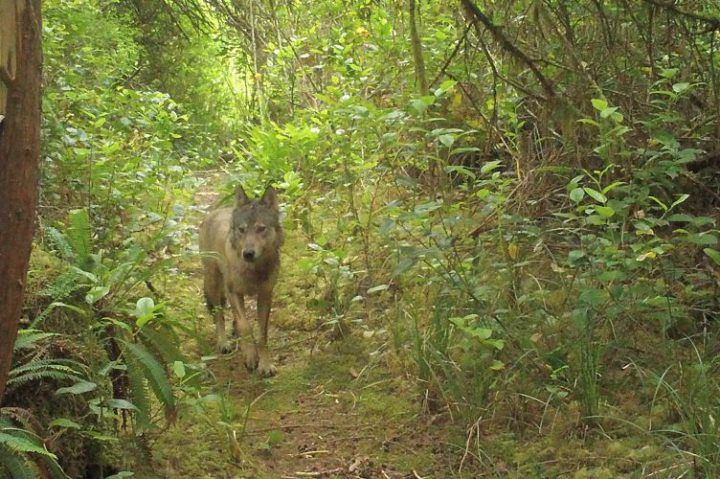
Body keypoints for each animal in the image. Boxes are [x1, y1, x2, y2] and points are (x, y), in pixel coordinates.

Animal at [201, 186, 286, 376]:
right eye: (242, 230)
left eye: (261, 228)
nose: (248, 253)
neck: (253, 270)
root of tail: (215, 212)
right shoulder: (234, 292)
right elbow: (246, 326)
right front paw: (250, 357)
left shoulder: (265, 295)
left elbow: (262, 334)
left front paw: (265, 364)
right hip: (213, 284)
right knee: (219, 315)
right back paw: (224, 342)